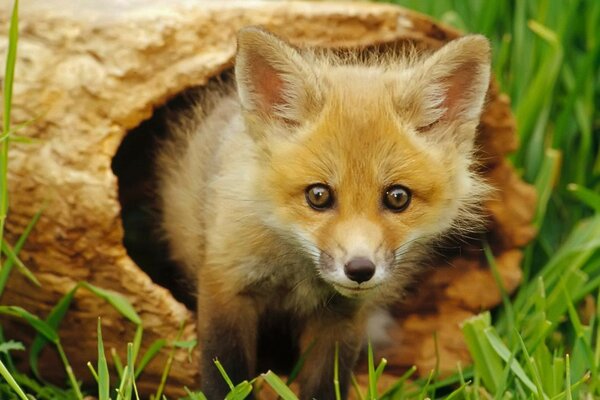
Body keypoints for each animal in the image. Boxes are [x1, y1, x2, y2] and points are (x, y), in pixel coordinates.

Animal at [157, 26, 490, 398]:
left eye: (397, 198)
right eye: (318, 196)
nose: (360, 269)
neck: (298, 276)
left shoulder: (341, 317)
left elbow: (325, 385)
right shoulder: (226, 285)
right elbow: (225, 377)